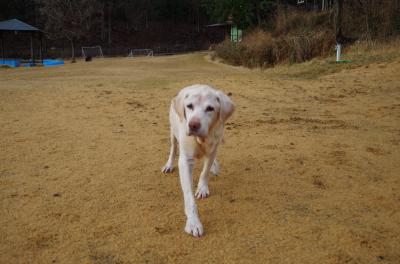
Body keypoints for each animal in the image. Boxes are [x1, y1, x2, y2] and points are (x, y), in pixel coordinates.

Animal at [160, 84, 234, 237]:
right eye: (189, 106)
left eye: (210, 108)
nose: (193, 125)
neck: (201, 140)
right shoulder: (185, 161)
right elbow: (189, 198)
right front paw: (193, 223)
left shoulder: (213, 148)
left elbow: (205, 172)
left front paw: (202, 188)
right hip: (173, 132)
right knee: (173, 148)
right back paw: (169, 164)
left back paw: (215, 167)